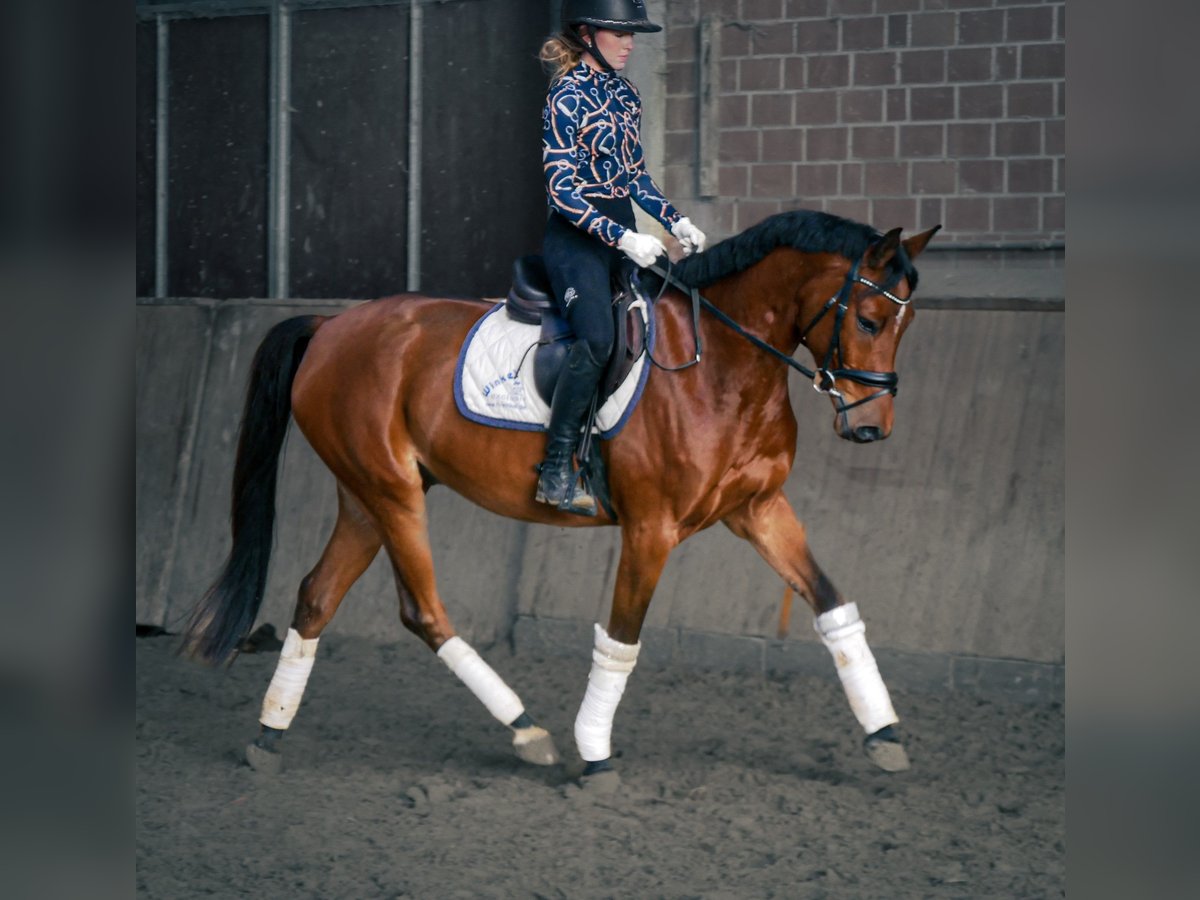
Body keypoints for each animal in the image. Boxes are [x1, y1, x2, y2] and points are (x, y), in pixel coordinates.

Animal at [182, 207, 940, 787]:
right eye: (869, 320)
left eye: (905, 326)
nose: (871, 427)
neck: (721, 366)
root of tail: (331, 327)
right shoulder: (652, 528)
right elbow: (622, 641)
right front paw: (595, 755)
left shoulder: (758, 511)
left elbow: (832, 606)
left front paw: (884, 734)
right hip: (391, 492)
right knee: (422, 611)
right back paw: (527, 731)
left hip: (366, 498)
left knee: (317, 597)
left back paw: (269, 734)